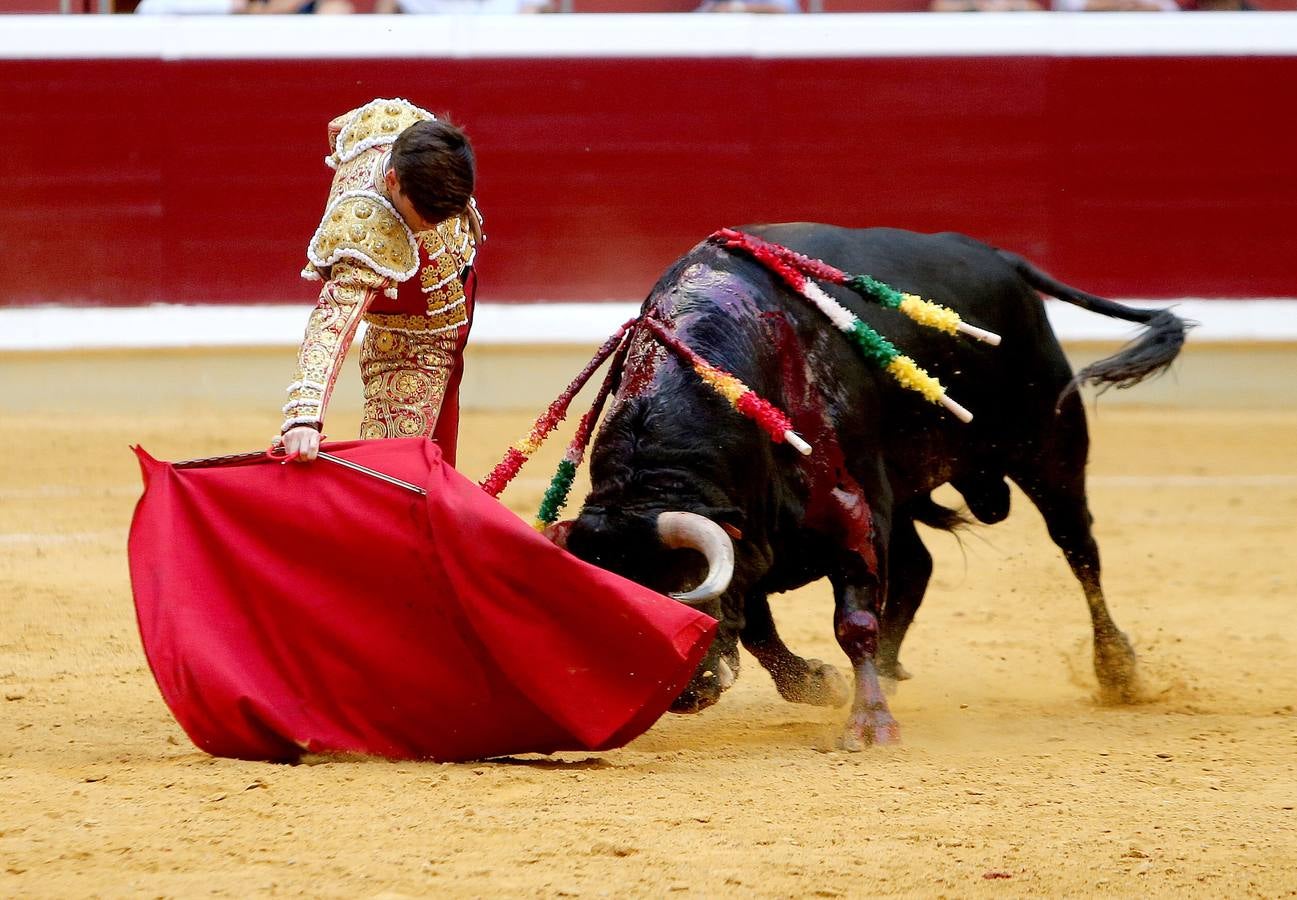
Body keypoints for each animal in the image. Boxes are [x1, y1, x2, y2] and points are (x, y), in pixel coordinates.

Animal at [562, 224, 1188, 746]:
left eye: (683, 590)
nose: (684, 695)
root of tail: (998, 258)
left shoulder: (853, 514)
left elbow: (852, 622)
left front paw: (869, 724)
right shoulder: (756, 538)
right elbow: (760, 628)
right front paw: (821, 684)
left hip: (1048, 450)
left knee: (1079, 550)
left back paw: (1118, 673)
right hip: (910, 492)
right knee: (918, 566)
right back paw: (889, 670)